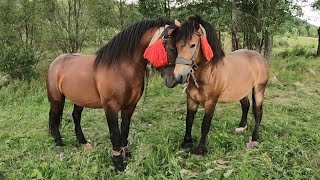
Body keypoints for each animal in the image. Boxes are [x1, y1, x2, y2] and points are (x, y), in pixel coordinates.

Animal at [46, 17, 179, 171]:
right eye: (171, 48)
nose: (174, 79)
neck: (121, 68)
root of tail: (56, 61)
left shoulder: (130, 106)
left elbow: (125, 130)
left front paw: (126, 155)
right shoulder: (111, 107)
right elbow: (115, 134)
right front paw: (118, 164)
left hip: (79, 99)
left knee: (76, 116)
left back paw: (83, 142)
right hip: (56, 99)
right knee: (54, 117)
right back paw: (59, 143)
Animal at [171, 15, 268, 155]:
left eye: (193, 45)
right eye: (177, 45)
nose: (178, 76)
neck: (209, 72)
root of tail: (259, 56)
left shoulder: (211, 101)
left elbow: (205, 123)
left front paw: (200, 149)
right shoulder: (191, 99)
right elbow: (188, 120)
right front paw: (186, 143)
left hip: (259, 89)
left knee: (258, 111)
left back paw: (255, 138)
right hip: (240, 90)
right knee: (246, 105)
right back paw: (241, 127)